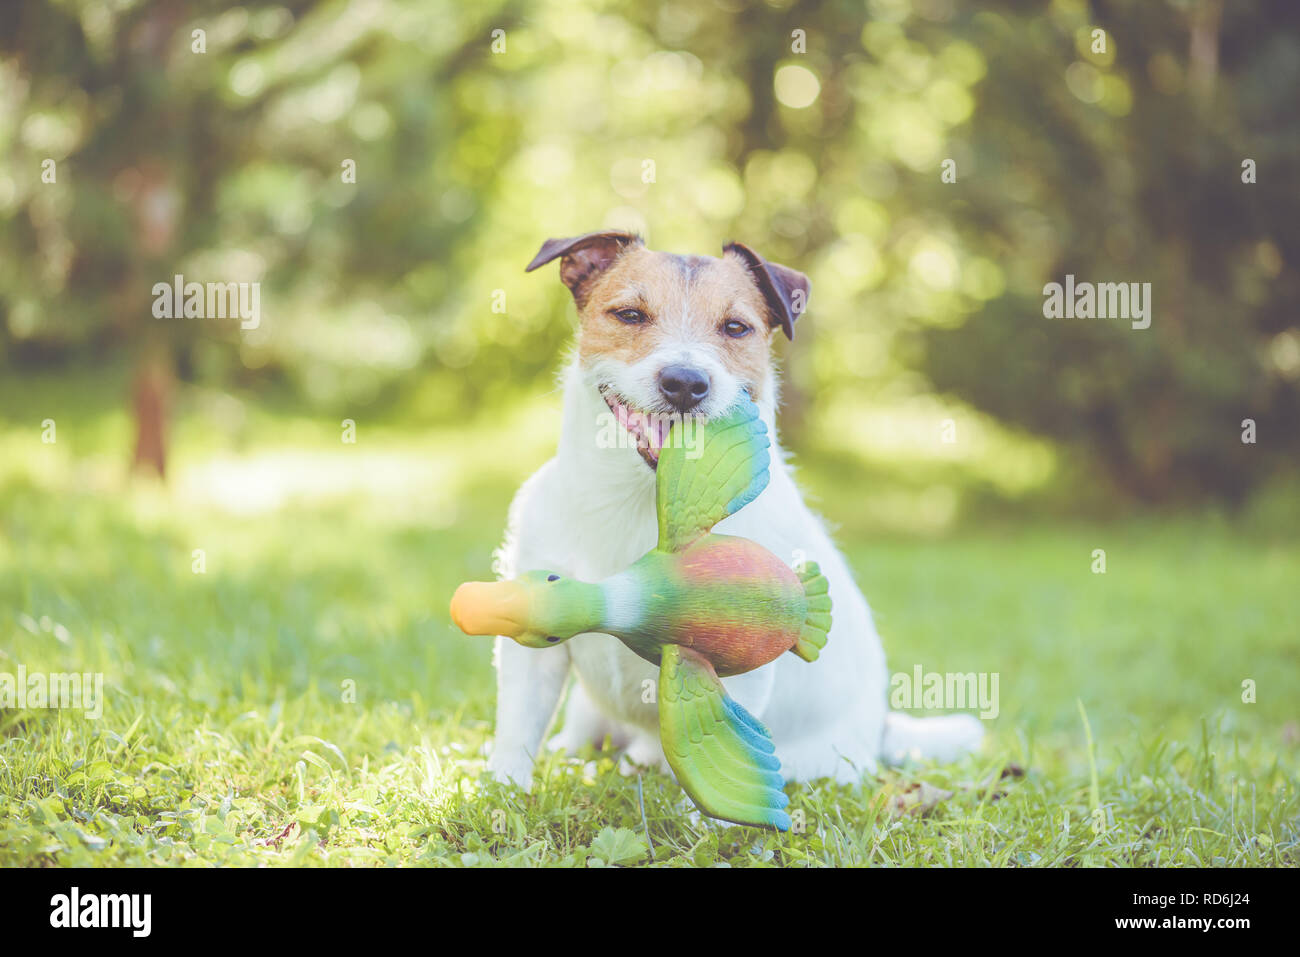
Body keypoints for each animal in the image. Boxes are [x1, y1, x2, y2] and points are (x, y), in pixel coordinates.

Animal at [488, 231, 982, 790]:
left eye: (735, 327)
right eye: (630, 315)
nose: (685, 382)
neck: (643, 502)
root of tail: (881, 729)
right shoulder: (532, 645)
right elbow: (518, 729)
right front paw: (502, 796)